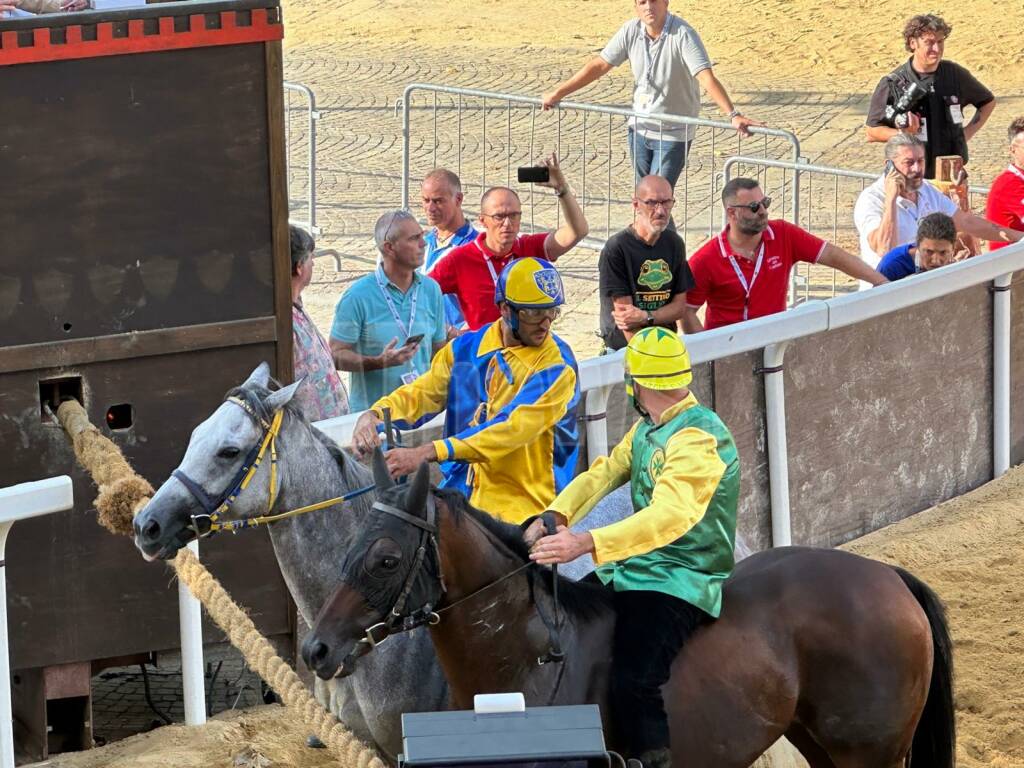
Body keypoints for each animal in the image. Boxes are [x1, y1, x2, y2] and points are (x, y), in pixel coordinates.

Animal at [299, 460, 954, 765]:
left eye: (386, 559)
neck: (528, 662)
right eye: (351, 543)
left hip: (870, 752)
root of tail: (887, 576)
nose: (316, 649)